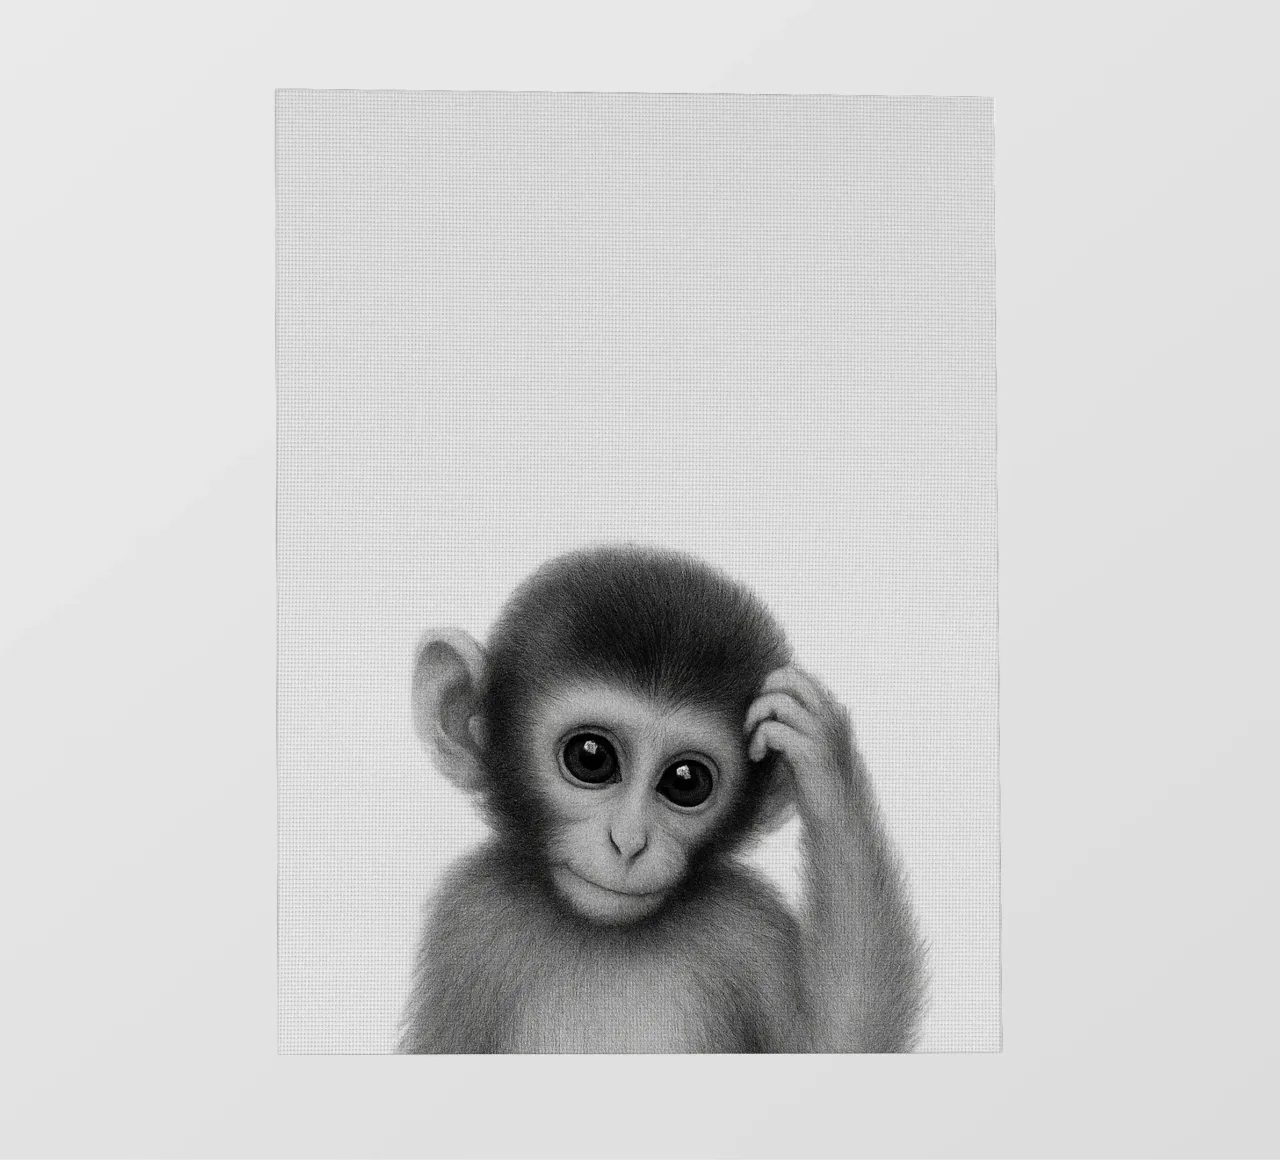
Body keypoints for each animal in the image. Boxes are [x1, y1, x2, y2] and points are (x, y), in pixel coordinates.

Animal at [398, 544, 924, 1053]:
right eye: (590, 757)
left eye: (685, 781)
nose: (629, 842)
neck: (606, 936)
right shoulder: (469, 917)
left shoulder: (747, 921)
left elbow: (837, 1041)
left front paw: (822, 757)